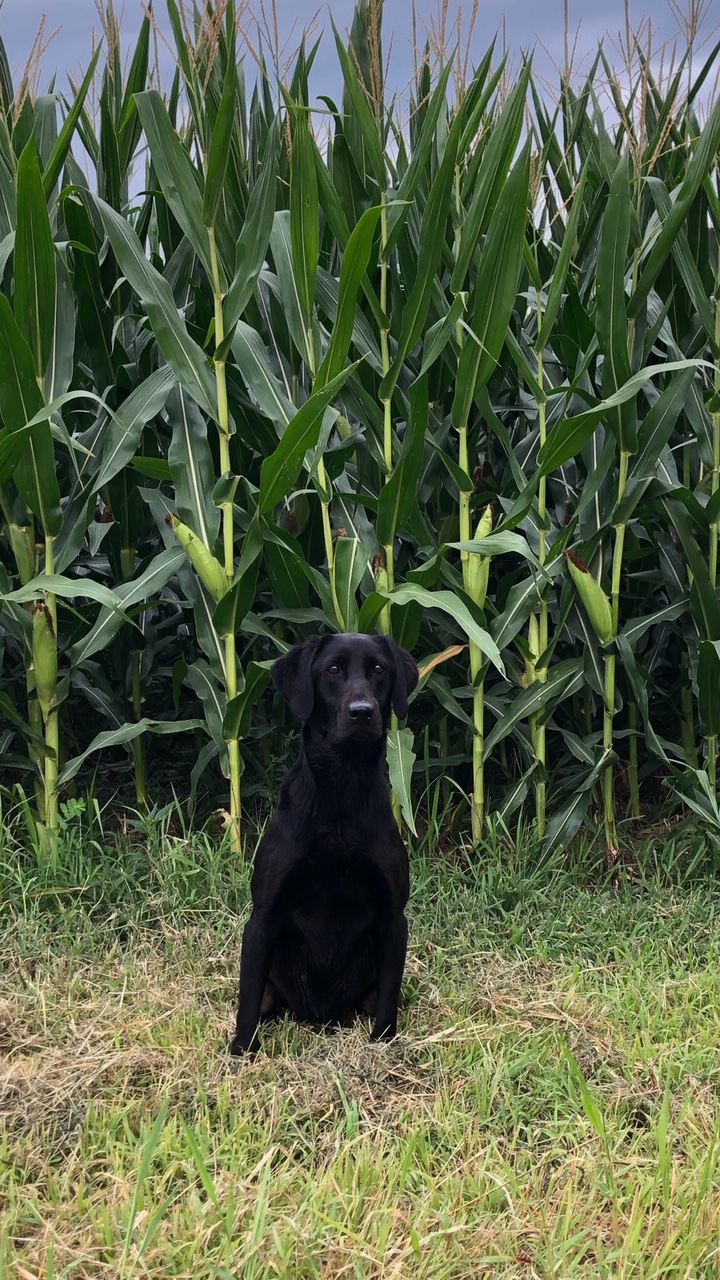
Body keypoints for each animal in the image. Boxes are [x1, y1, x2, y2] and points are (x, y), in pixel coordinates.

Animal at [229, 632, 420, 1059]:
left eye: (379, 669)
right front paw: (241, 1052)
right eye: (332, 669)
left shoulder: (393, 919)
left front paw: (383, 1046)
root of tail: (322, 1016)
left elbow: (388, 1003)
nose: (362, 712)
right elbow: (247, 1002)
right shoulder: (262, 918)